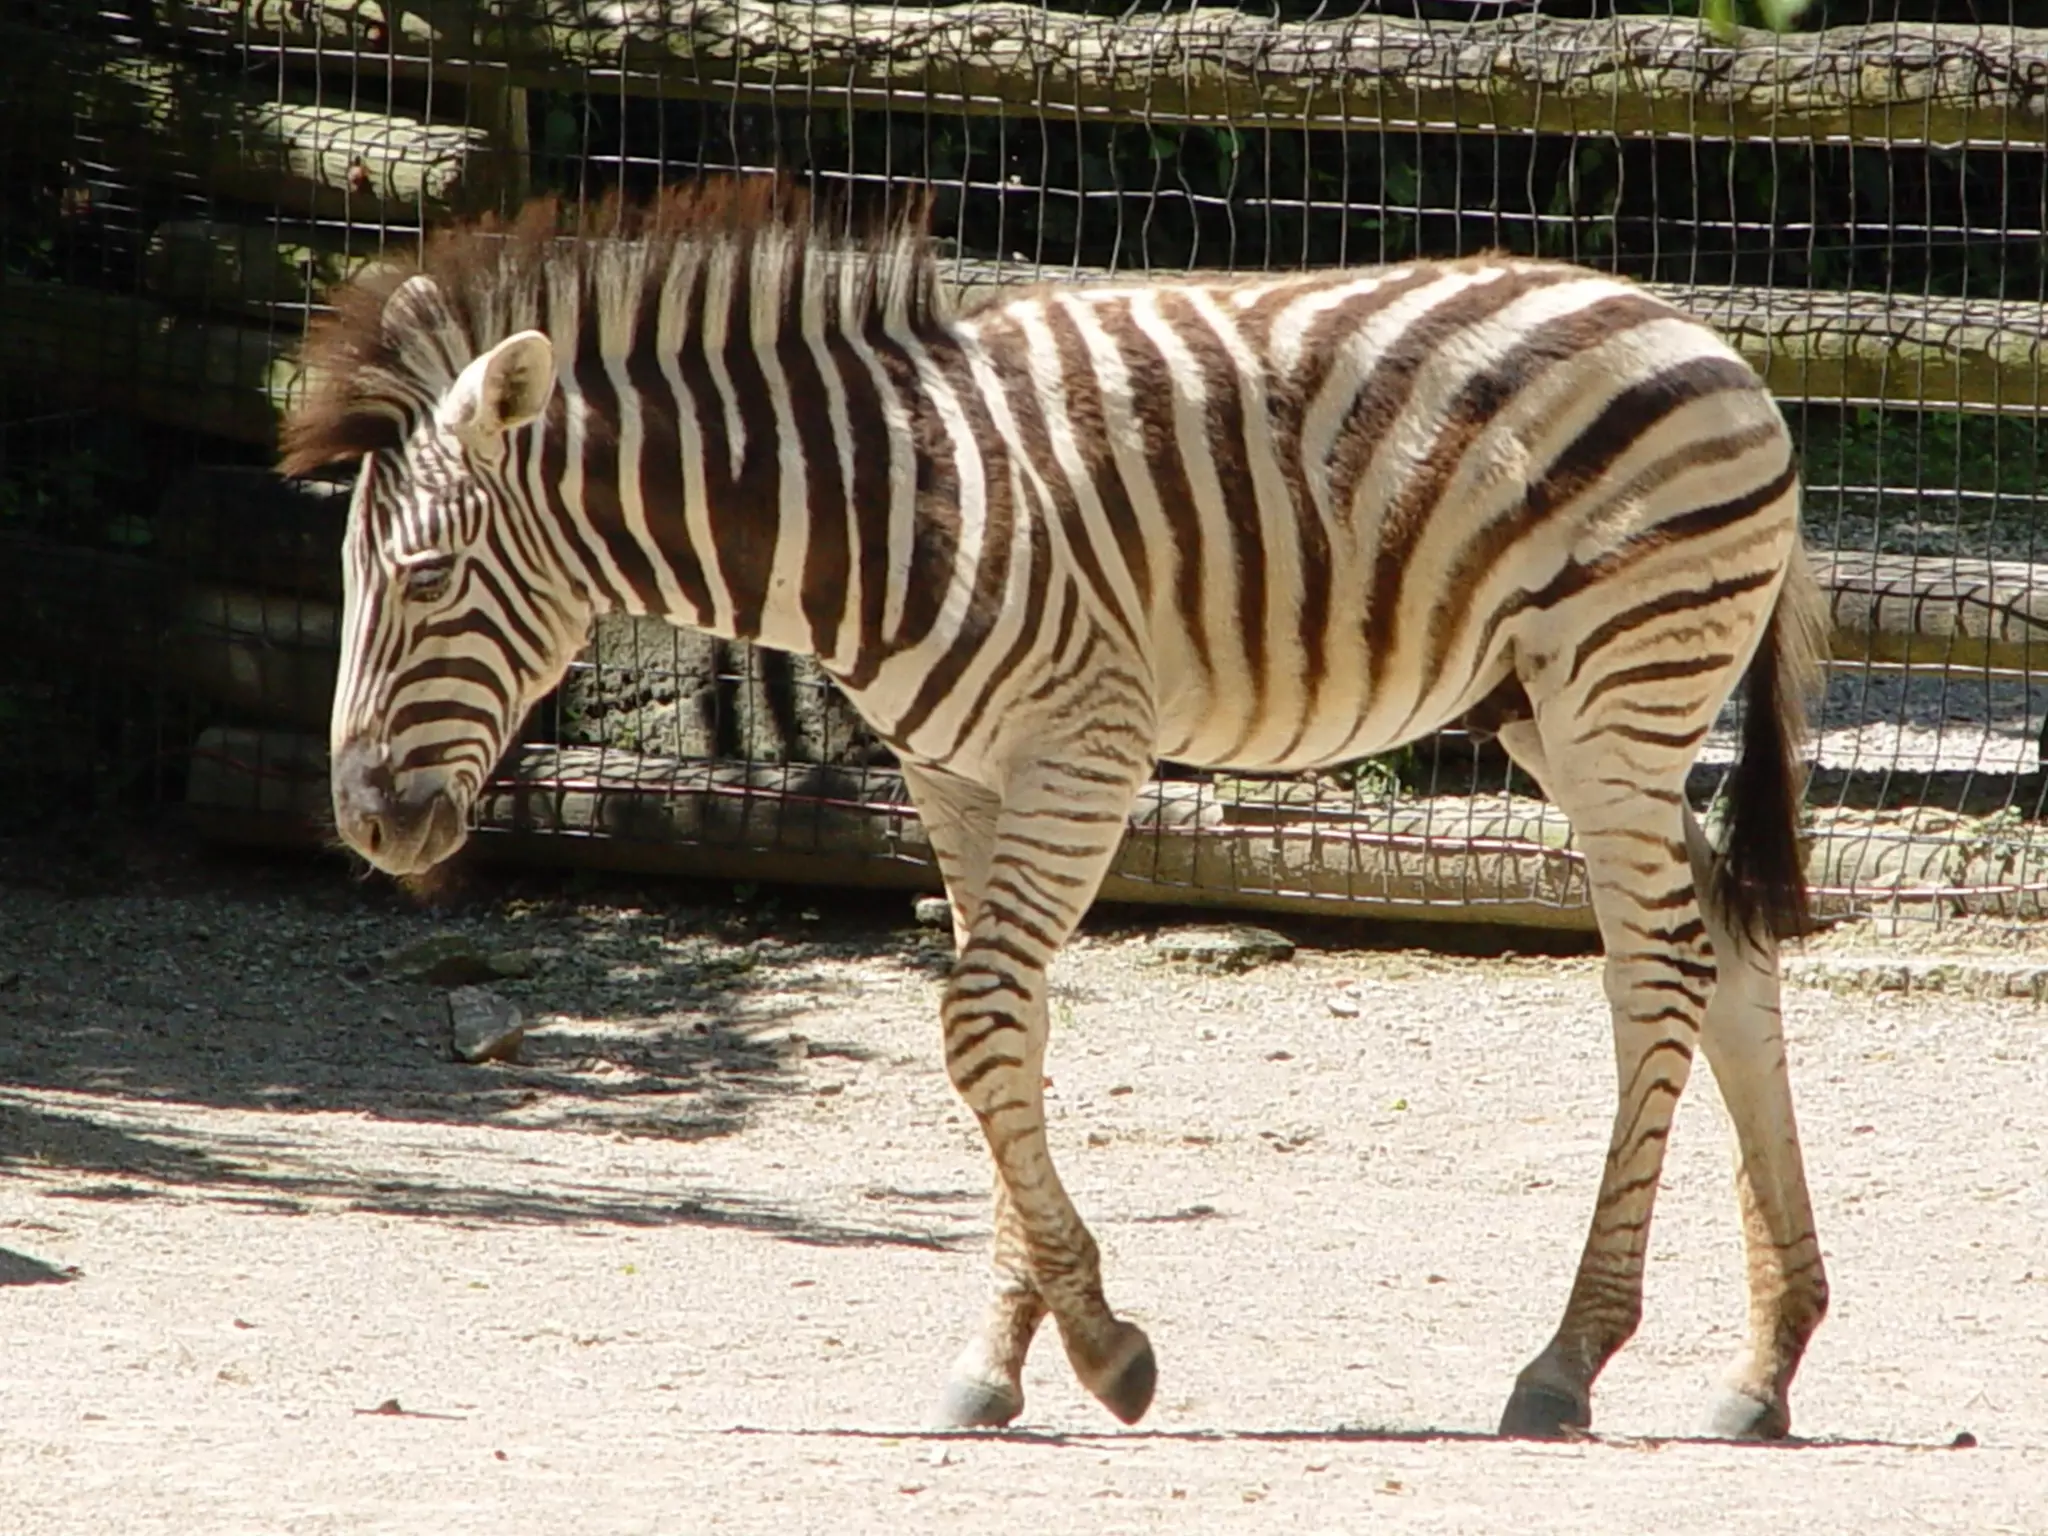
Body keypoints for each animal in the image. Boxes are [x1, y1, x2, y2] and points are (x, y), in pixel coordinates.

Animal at [283, 182, 1829, 1440]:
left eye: (424, 579)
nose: (366, 825)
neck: (888, 510)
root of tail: (1707, 342)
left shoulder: (1088, 744)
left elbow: (976, 1025)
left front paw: (1102, 1351)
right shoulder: (952, 772)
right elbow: (1006, 1034)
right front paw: (1002, 1357)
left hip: (1615, 689)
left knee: (1660, 971)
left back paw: (1569, 1359)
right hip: (1554, 712)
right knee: (1728, 945)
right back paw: (1761, 1369)